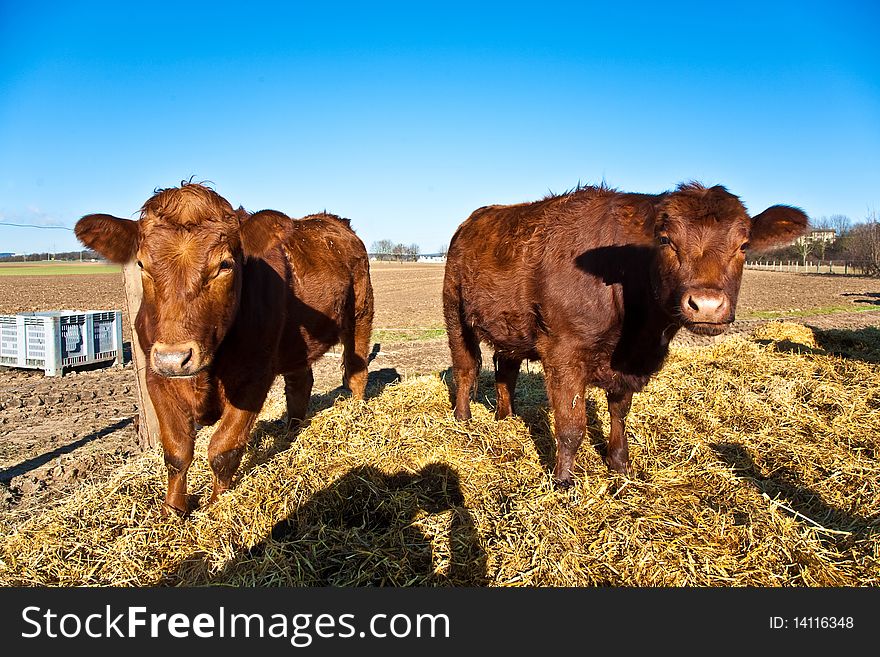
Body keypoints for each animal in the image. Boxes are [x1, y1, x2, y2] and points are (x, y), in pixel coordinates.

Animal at [75, 182, 374, 516]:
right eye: (142, 264)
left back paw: (356, 415)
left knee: (356, 371)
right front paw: (172, 512)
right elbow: (177, 451)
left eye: (224, 265)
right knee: (300, 383)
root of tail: (331, 220)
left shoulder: (254, 377)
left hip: (360, 314)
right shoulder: (156, 376)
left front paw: (217, 508)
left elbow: (223, 449)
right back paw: (291, 433)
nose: (174, 359)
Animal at [444, 182, 808, 484]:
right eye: (666, 241)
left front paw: (620, 464)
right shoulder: (563, 351)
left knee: (505, 368)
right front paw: (563, 481)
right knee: (466, 367)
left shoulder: (628, 362)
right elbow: (572, 425)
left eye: (744, 245)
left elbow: (619, 412)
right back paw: (463, 419)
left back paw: (505, 418)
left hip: (511, 326)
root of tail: (475, 219)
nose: (706, 305)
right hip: (455, 313)